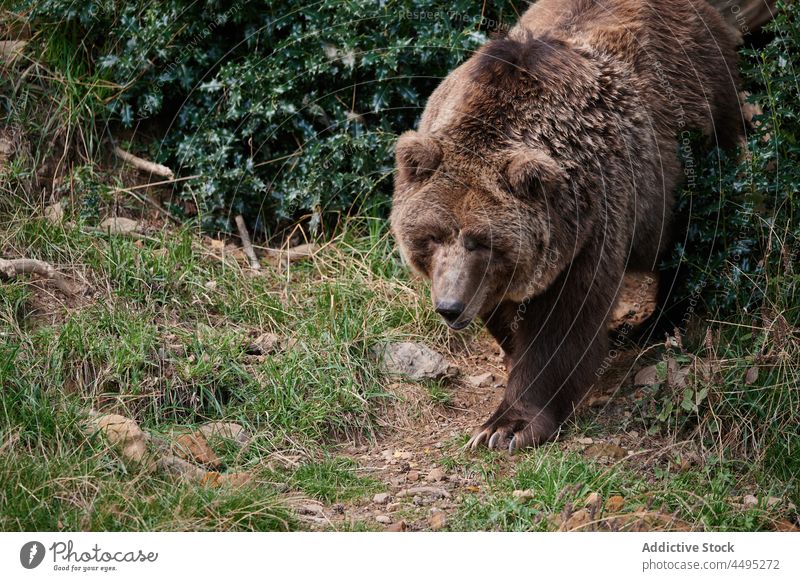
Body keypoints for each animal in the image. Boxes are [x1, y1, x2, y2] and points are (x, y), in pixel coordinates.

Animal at [390, 0, 748, 450]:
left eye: (481, 241)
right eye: (433, 236)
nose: (450, 307)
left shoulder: (594, 218)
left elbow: (565, 321)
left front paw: (506, 426)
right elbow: (503, 309)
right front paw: (511, 353)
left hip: (703, 135)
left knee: (694, 236)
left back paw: (657, 323)